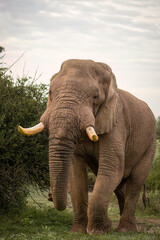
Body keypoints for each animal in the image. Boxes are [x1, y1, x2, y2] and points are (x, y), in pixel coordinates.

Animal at [18, 58, 156, 234]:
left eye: (95, 97)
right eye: (49, 93)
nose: (49, 196)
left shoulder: (117, 124)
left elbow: (111, 168)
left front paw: (98, 231)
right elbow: (75, 173)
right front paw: (78, 231)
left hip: (150, 145)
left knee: (135, 181)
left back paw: (126, 230)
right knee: (120, 187)